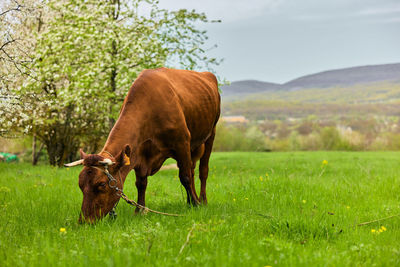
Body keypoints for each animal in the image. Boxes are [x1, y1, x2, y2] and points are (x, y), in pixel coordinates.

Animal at [66, 68, 222, 223]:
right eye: (80, 184)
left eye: (102, 184)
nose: (84, 221)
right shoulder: (138, 152)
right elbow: (141, 183)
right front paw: (139, 210)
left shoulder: (182, 142)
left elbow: (185, 177)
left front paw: (196, 204)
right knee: (192, 168)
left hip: (211, 133)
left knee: (202, 171)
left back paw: (202, 200)